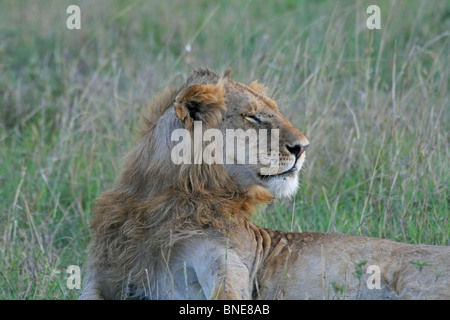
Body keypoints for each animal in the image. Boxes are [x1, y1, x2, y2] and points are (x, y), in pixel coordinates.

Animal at [81, 68, 450, 300]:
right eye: (254, 117)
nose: (303, 147)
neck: (167, 198)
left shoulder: (230, 261)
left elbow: (228, 290)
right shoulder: (104, 273)